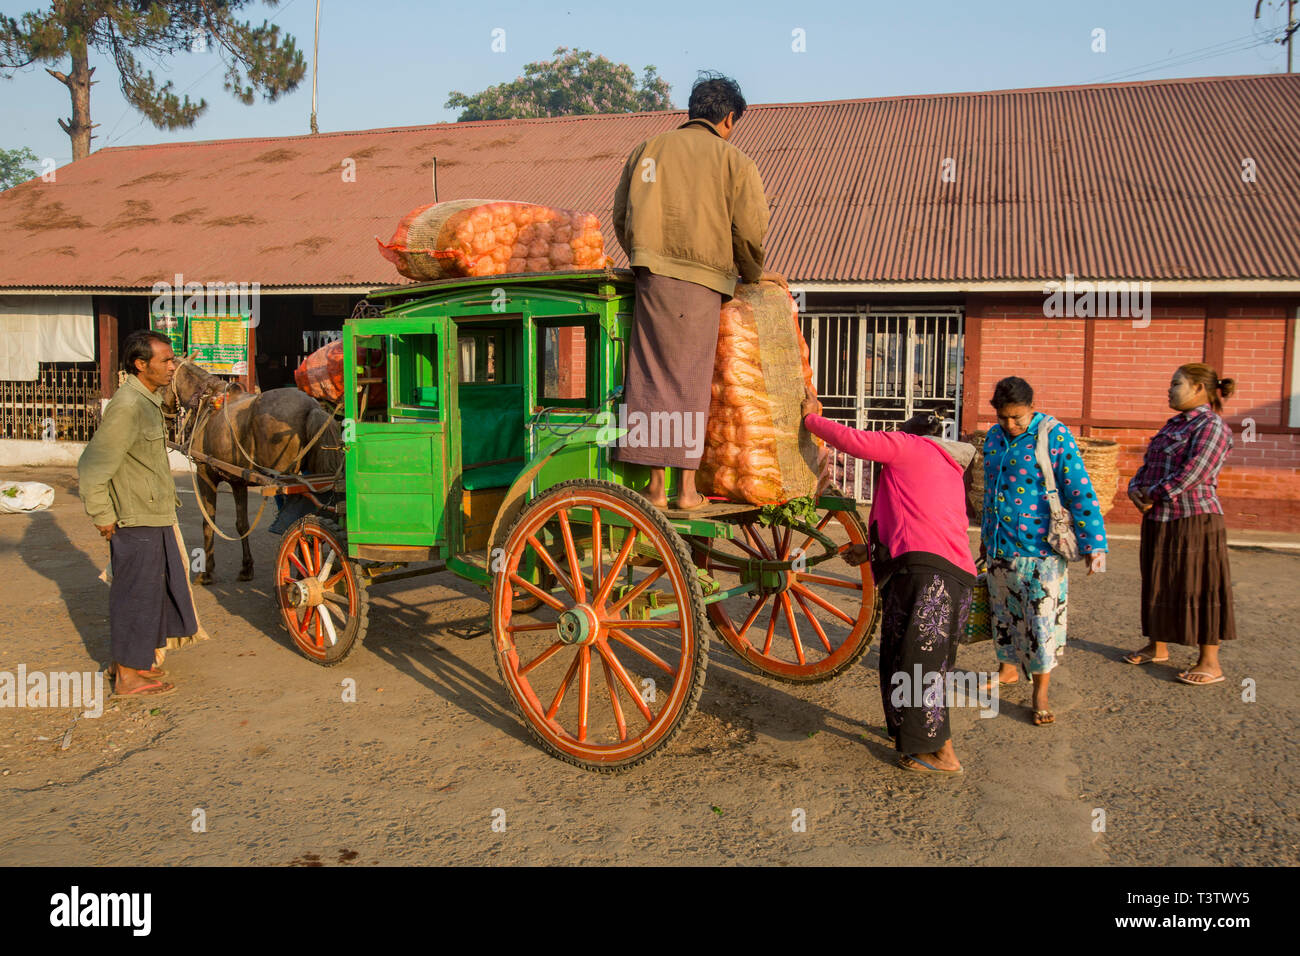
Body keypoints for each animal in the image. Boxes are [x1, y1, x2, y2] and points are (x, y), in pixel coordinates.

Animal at [165, 356, 343, 582]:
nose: (164, 415)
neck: (207, 401)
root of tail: (312, 406)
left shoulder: (205, 473)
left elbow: (208, 521)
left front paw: (207, 572)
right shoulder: (237, 481)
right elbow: (242, 524)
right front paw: (246, 567)